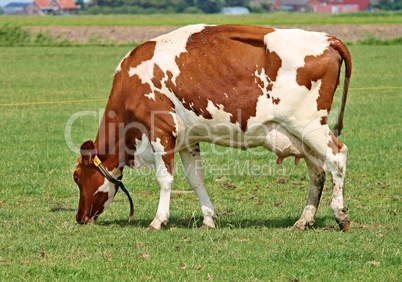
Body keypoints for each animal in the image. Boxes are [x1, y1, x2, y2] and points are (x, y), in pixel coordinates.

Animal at [73, 24, 352, 231]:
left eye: (76, 177)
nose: (79, 218)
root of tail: (328, 39)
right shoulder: (187, 140)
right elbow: (196, 179)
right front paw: (208, 218)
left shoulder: (160, 132)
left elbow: (164, 179)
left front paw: (158, 220)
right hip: (302, 136)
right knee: (317, 172)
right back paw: (304, 219)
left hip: (310, 125)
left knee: (337, 157)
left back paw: (340, 215)